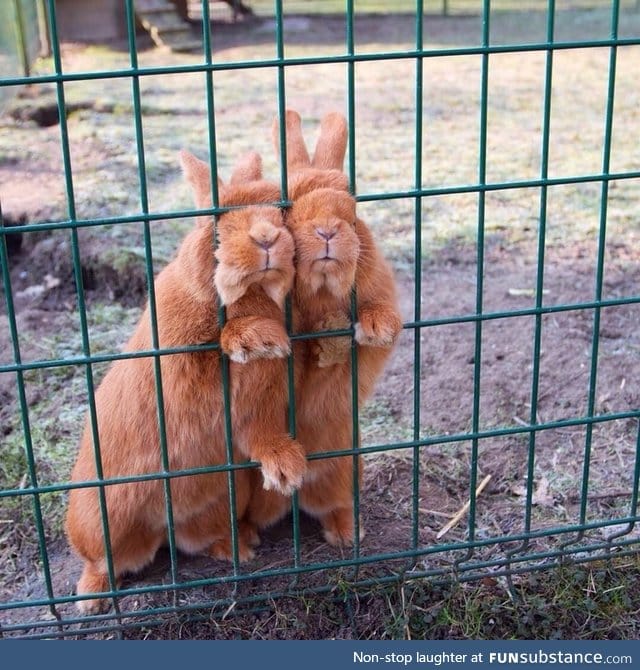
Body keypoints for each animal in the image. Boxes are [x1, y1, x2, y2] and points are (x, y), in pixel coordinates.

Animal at [246, 110, 402, 548]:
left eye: (352, 209)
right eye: (289, 210)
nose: (328, 231)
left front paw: (375, 327)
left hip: (343, 473)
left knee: (335, 505)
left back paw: (347, 535)